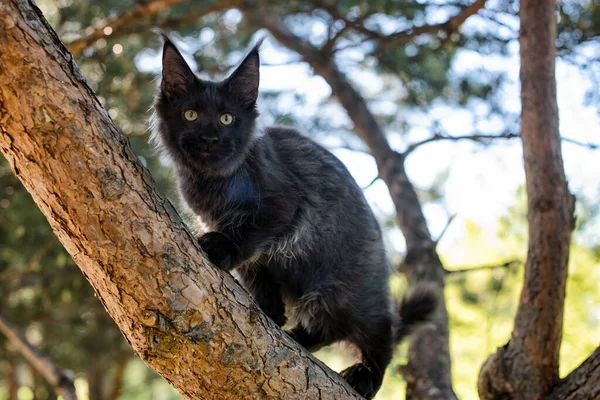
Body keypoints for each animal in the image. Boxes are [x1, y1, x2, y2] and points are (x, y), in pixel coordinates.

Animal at [150, 33, 436, 396]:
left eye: (227, 118)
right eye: (190, 114)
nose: (210, 138)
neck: (214, 183)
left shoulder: (283, 208)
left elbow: (248, 237)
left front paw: (220, 248)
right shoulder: (256, 255)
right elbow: (258, 274)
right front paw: (271, 314)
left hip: (350, 290)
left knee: (382, 329)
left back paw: (366, 375)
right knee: (328, 328)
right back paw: (298, 335)